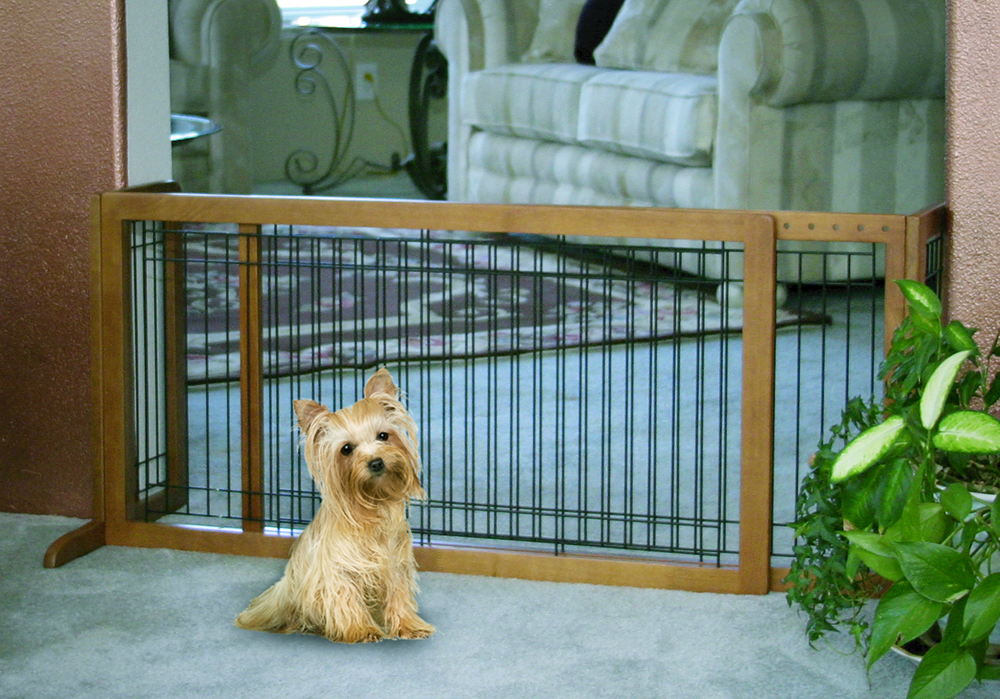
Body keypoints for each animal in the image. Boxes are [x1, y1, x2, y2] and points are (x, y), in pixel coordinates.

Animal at [238, 370, 438, 644]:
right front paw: (361, 630)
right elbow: (346, 598)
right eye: (346, 449)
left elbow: (398, 595)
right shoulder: (340, 570)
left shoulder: (395, 565)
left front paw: (409, 626)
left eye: (383, 436)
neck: (372, 502)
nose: (376, 462)